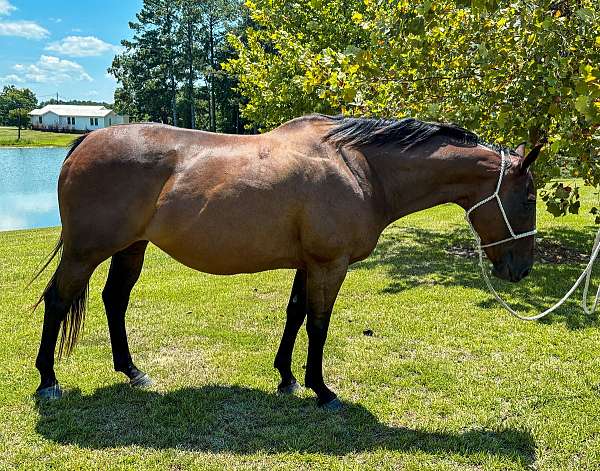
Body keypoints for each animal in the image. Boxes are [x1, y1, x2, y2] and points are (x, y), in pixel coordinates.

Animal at [30, 114, 540, 410]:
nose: (520, 270)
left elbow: (295, 314)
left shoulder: (308, 262)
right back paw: (48, 381)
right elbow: (318, 323)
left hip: (130, 248)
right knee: (58, 301)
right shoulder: (330, 264)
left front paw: (287, 378)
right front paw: (321, 389)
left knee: (114, 300)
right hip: (85, 251)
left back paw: (133, 372)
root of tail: (87, 139)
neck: (359, 168)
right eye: (530, 197)